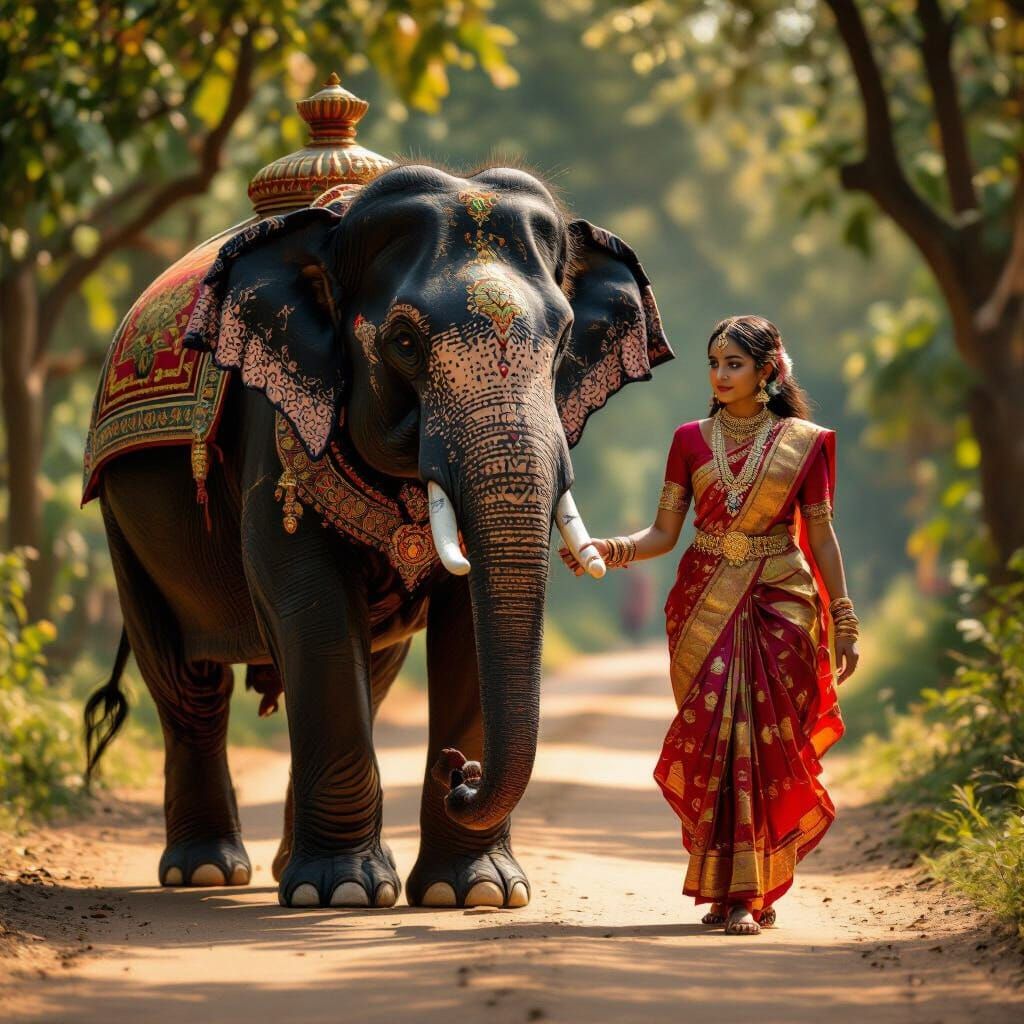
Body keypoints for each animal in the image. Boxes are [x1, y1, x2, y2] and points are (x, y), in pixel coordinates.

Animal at [85, 163, 673, 909]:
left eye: (564, 339)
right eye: (404, 343)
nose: (459, 771)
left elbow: (463, 625)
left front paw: (474, 893)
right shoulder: (273, 418)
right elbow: (308, 603)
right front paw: (341, 892)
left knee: (374, 667)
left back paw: (282, 866)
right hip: (121, 518)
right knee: (189, 684)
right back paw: (208, 872)